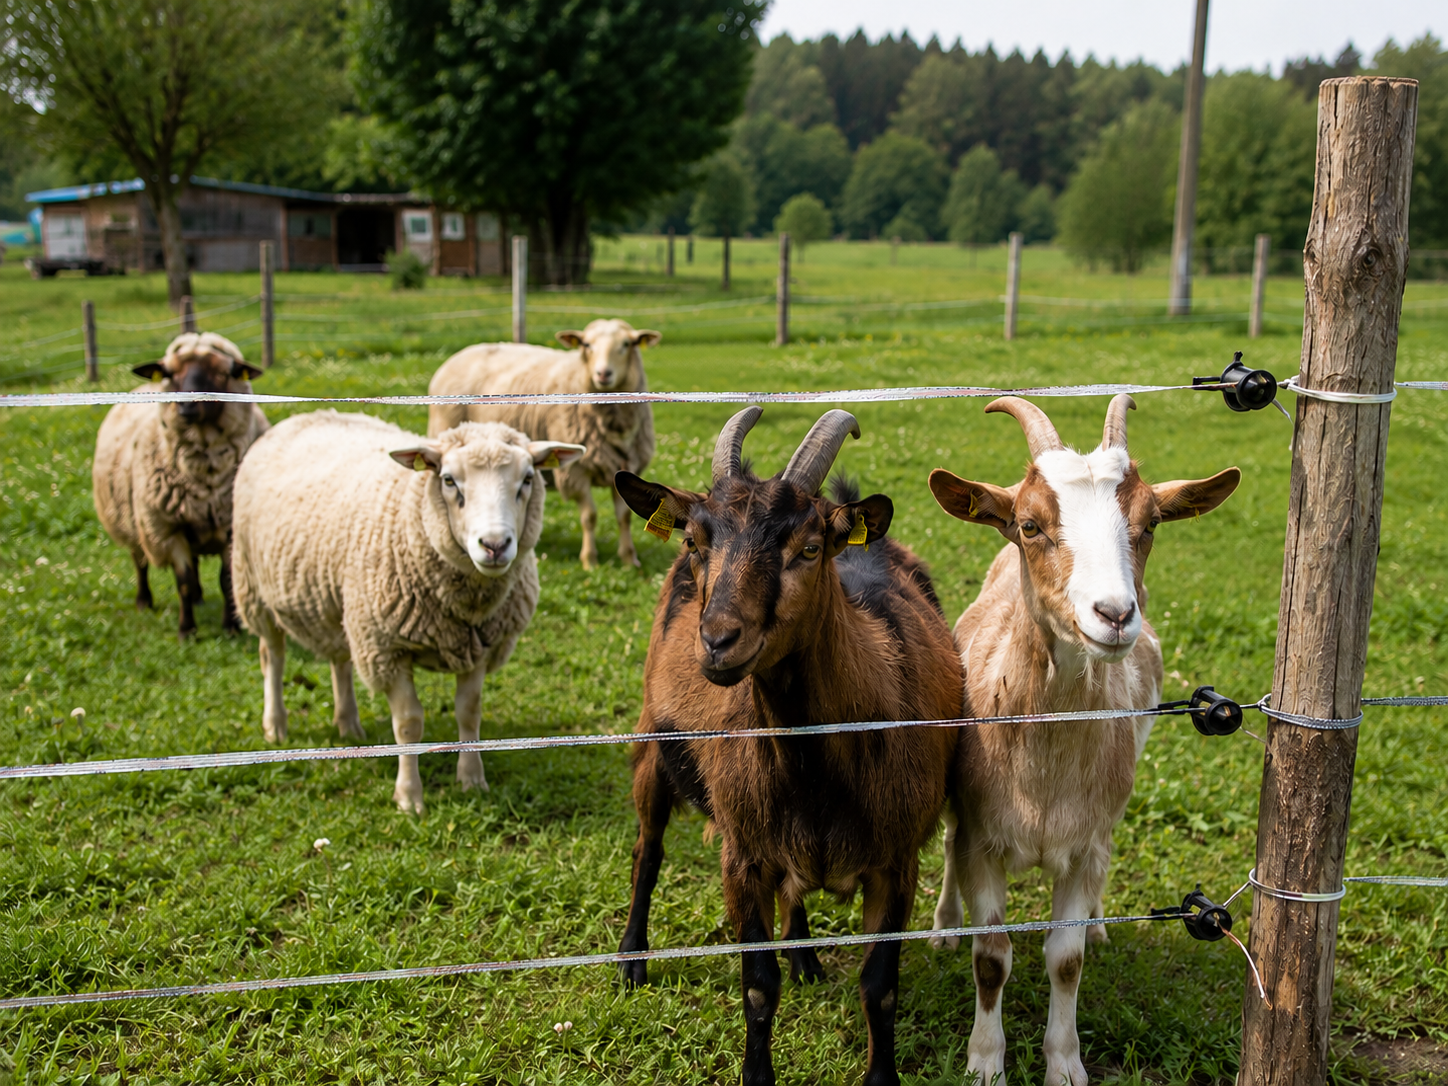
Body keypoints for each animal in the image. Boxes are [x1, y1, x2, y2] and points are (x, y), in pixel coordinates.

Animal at [91, 332, 269, 638]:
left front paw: (231, 627)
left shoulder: (230, 527)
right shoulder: (167, 528)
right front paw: (187, 630)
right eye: (170, 373)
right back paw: (144, 601)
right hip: (134, 519)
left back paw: (198, 598)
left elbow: (226, 580)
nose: (186, 405)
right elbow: (182, 580)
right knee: (140, 561)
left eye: (221, 373)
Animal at [230, 410, 585, 813]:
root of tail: (308, 414)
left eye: (527, 479)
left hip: (343, 604)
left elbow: (469, 711)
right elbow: (408, 723)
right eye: (448, 480)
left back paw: (348, 724)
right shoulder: (388, 647)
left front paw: (472, 780)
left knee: (340, 659)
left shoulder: (479, 644)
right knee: (272, 657)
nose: (494, 545)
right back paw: (276, 725)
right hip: (254, 587)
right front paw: (409, 797)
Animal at [426, 318, 659, 569]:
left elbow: (624, 517)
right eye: (586, 345)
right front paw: (590, 561)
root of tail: (460, 354)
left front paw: (629, 560)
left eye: (626, 344)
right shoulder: (575, 471)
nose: (603, 374)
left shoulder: (624, 465)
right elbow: (589, 517)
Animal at [614, 408, 964, 1086]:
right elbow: (757, 984)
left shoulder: (897, 860)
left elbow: (880, 986)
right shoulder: (743, 855)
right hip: (652, 743)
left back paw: (803, 957)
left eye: (808, 547)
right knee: (648, 851)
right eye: (695, 543)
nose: (719, 641)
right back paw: (631, 959)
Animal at [926, 395, 1240, 1086]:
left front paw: (1065, 1063)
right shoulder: (983, 836)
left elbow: (1065, 959)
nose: (1115, 614)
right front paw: (985, 1061)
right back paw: (941, 926)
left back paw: (1098, 922)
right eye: (1029, 525)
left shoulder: (1087, 838)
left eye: (1151, 522)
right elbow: (991, 956)